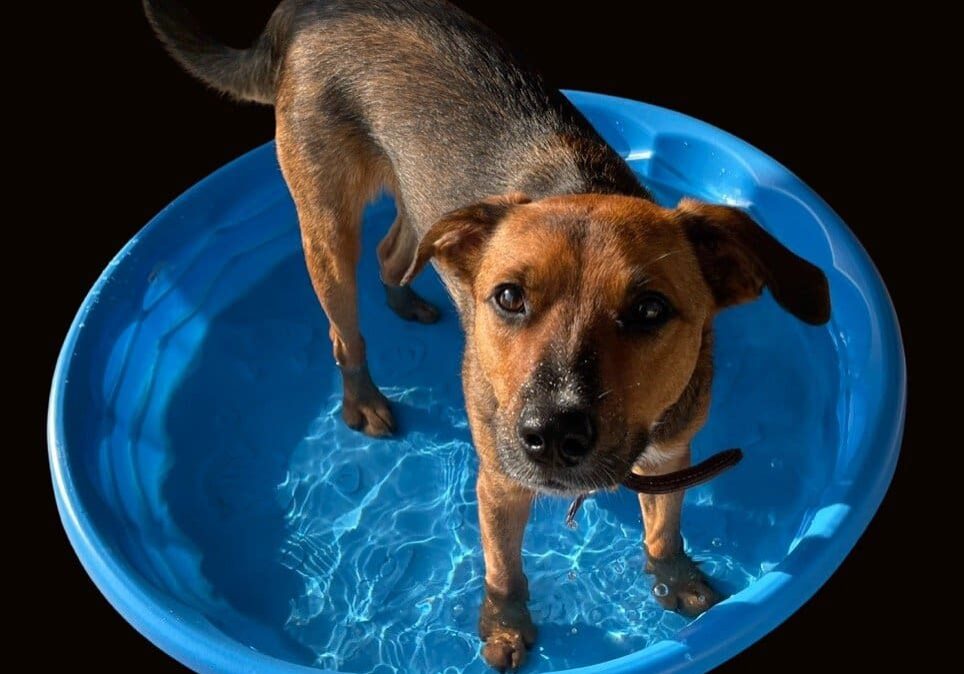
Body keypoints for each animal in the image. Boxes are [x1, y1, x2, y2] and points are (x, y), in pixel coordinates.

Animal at [143, 2, 828, 668]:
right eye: (509, 297)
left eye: (650, 311)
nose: (552, 435)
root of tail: (304, 11)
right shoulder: (499, 480)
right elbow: (505, 568)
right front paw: (505, 627)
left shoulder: (670, 453)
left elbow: (664, 530)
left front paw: (677, 578)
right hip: (327, 231)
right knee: (346, 331)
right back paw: (363, 399)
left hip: (417, 204)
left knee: (398, 253)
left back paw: (408, 300)